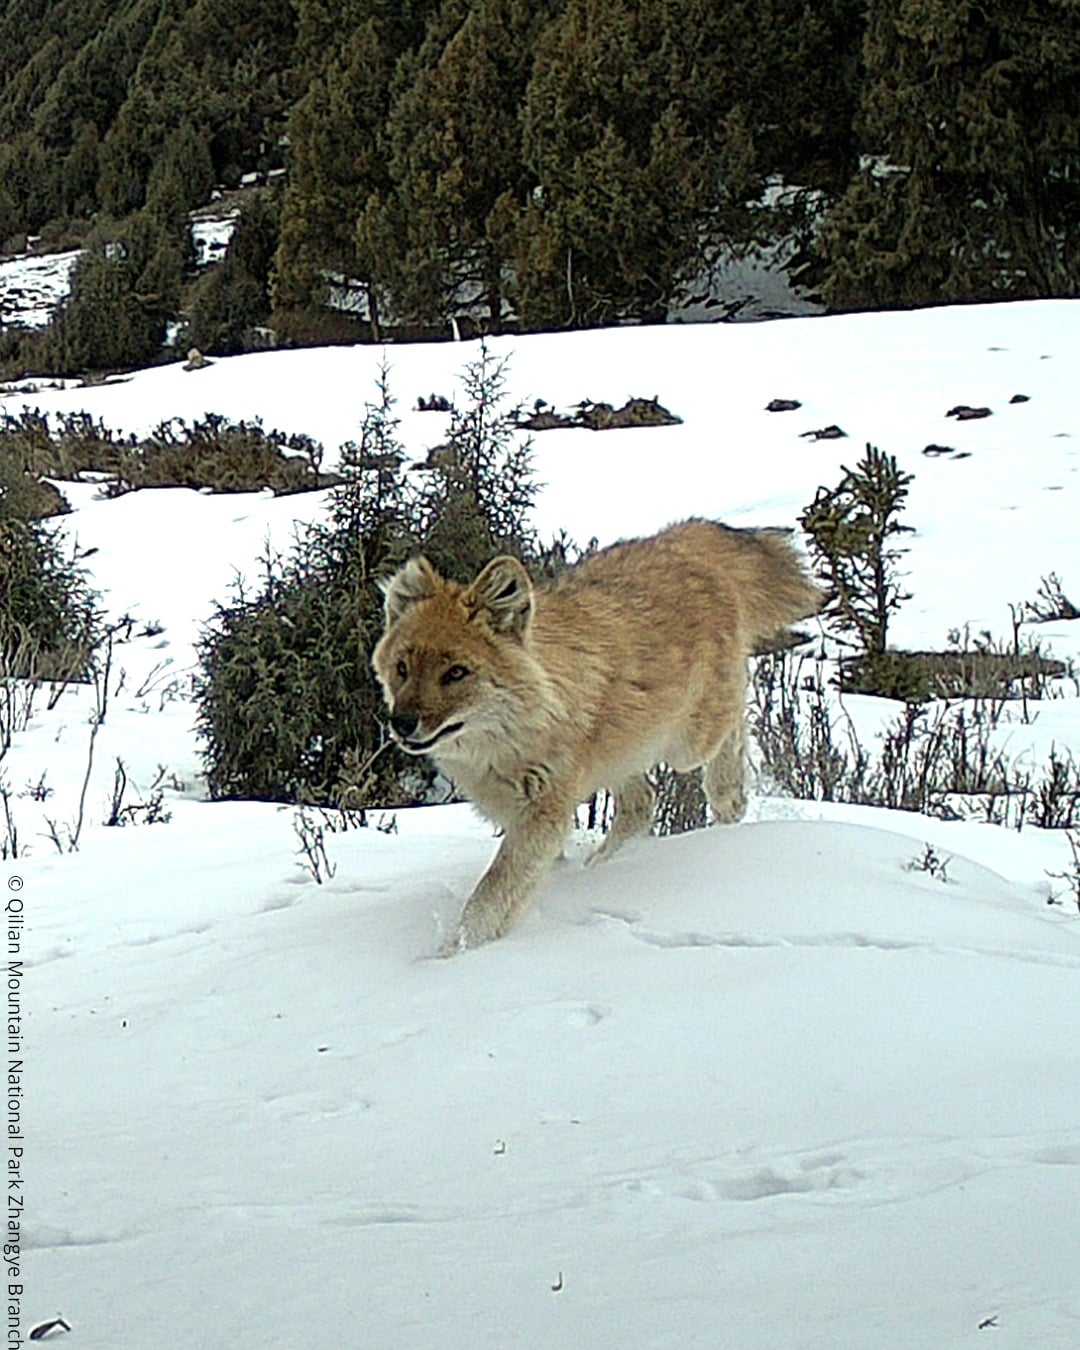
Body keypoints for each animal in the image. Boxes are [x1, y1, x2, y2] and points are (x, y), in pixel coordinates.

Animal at [372, 519, 821, 952]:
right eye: (402, 668)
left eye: (456, 673)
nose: (402, 723)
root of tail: (683, 538)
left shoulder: (542, 815)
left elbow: (488, 900)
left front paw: (447, 958)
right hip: (623, 756)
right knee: (642, 805)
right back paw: (602, 864)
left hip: (686, 745)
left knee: (732, 730)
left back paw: (729, 801)